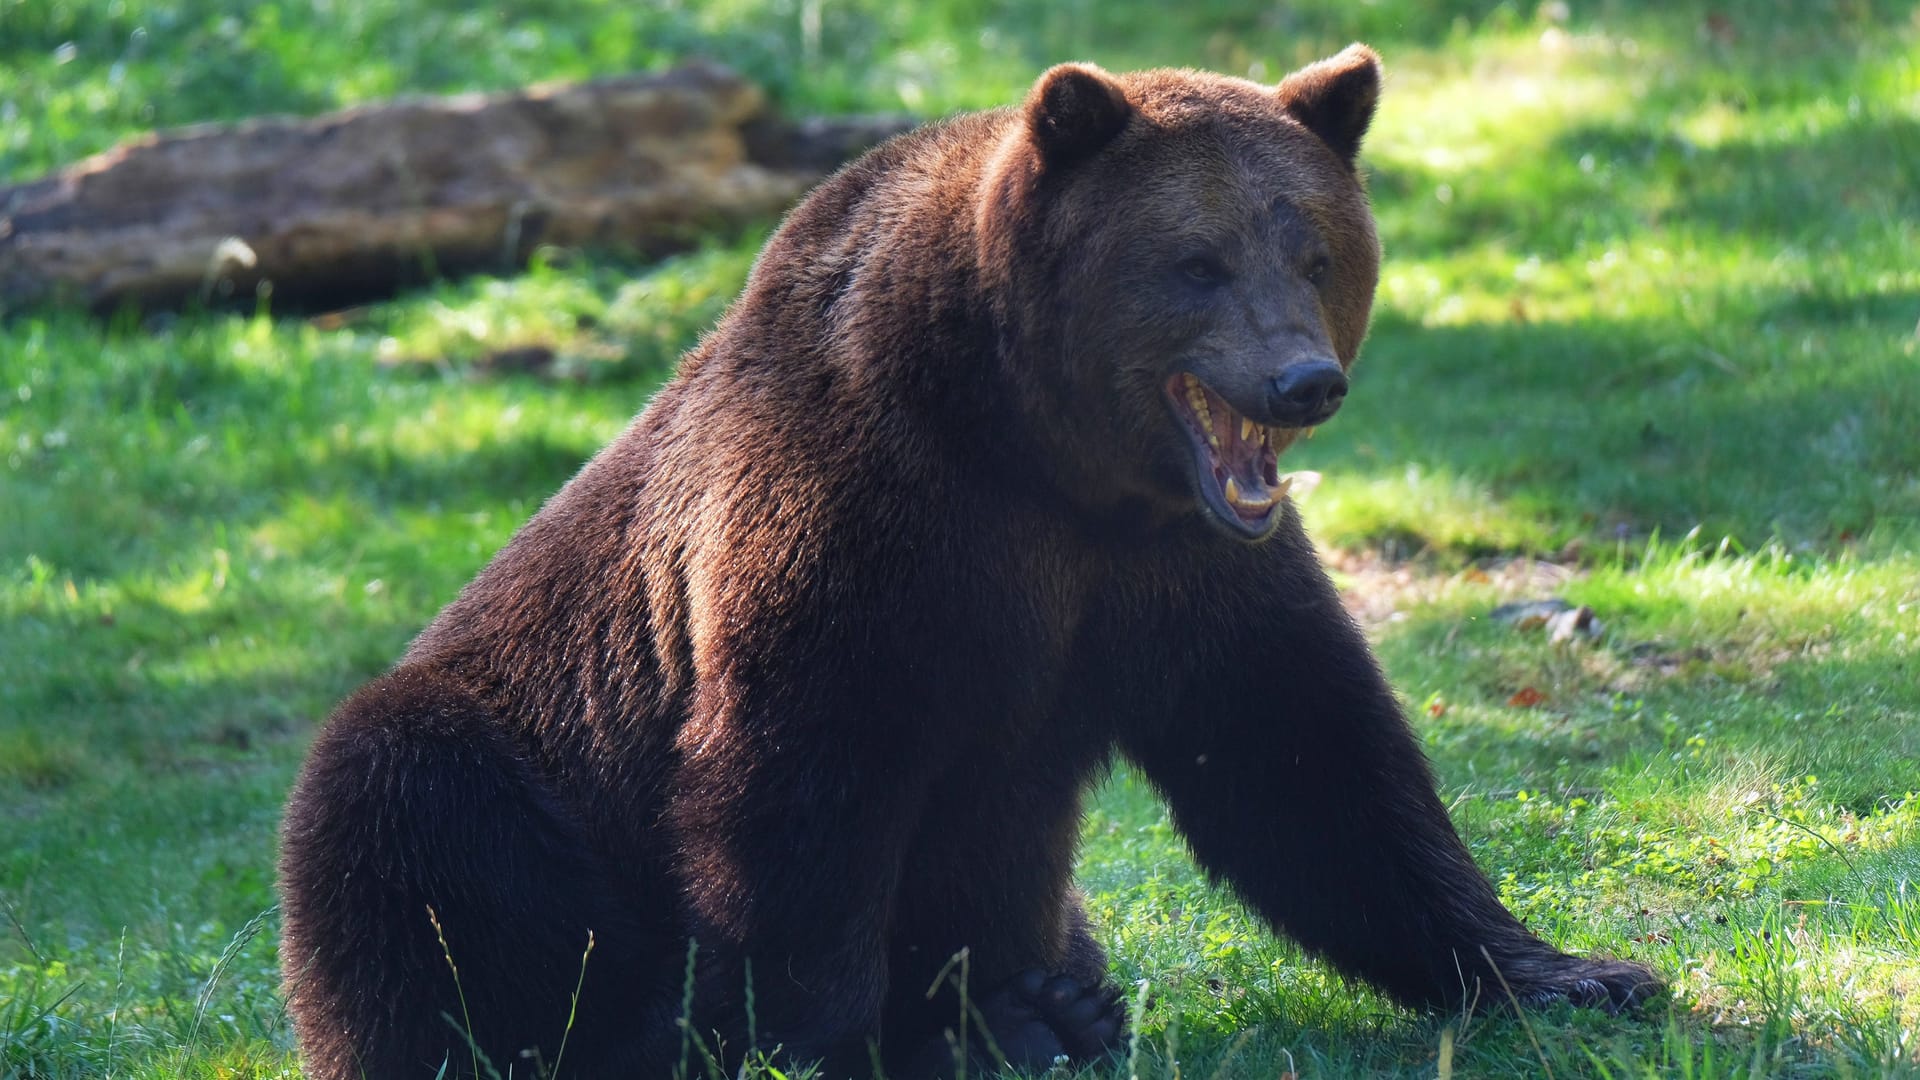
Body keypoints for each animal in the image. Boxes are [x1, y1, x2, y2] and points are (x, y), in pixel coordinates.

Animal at [278, 46, 1658, 1076]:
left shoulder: (1173, 569)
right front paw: (819, 1043)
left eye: (1315, 246)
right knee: (411, 838)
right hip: (503, 768)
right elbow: (801, 796)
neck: (1035, 451)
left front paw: (1576, 970)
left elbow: (1308, 760)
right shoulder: (863, 530)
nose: (1303, 380)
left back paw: (1052, 1009)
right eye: (1196, 260)